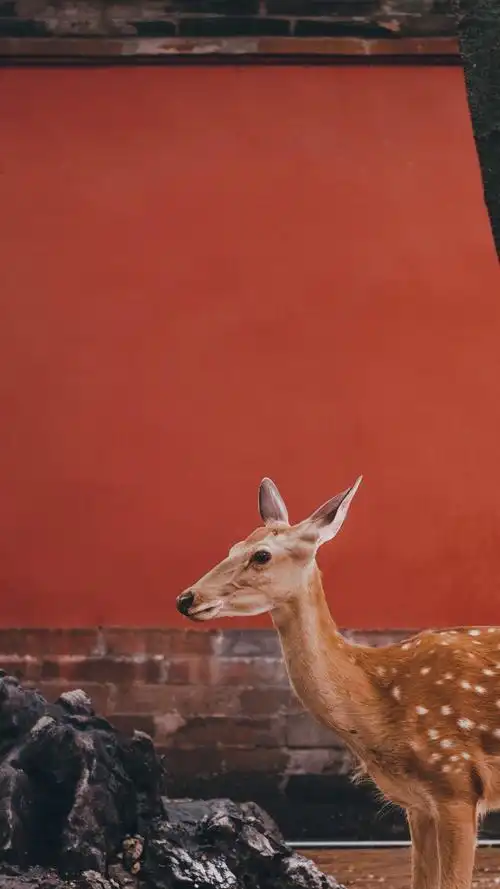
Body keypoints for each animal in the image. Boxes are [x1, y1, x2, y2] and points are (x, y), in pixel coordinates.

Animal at [176, 476, 500, 889]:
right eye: (234, 546)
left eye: (261, 555)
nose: (186, 598)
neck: (382, 705)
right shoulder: (417, 805)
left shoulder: (456, 784)